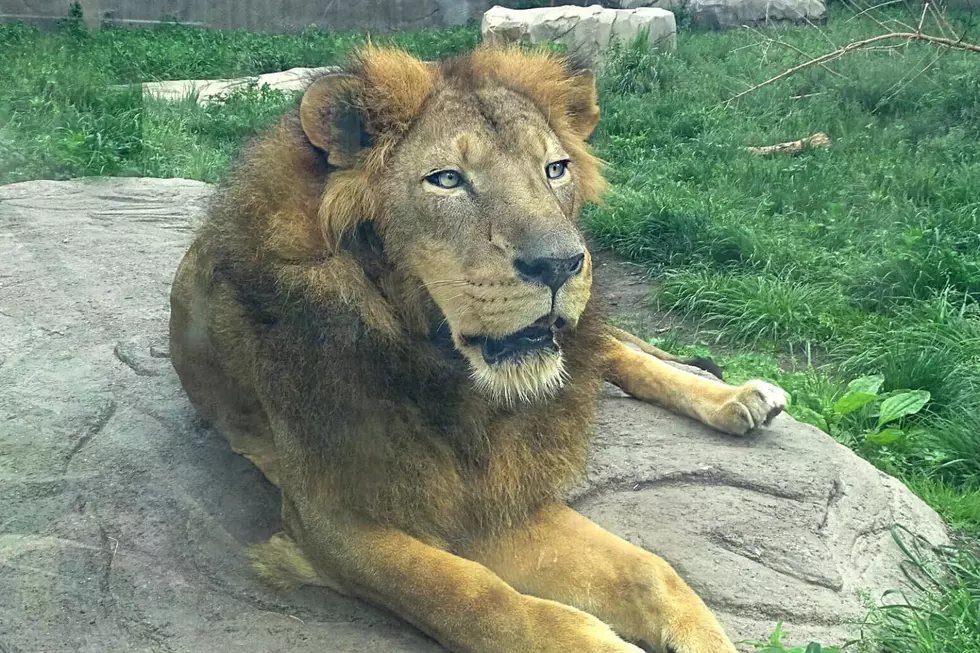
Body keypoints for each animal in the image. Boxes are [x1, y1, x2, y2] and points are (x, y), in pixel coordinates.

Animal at [168, 43, 788, 648]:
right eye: (446, 180)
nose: (561, 264)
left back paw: (738, 397)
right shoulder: (331, 515)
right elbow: (467, 594)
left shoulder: (496, 485)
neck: (449, 373)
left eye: (555, 169)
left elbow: (649, 570)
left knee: (615, 353)